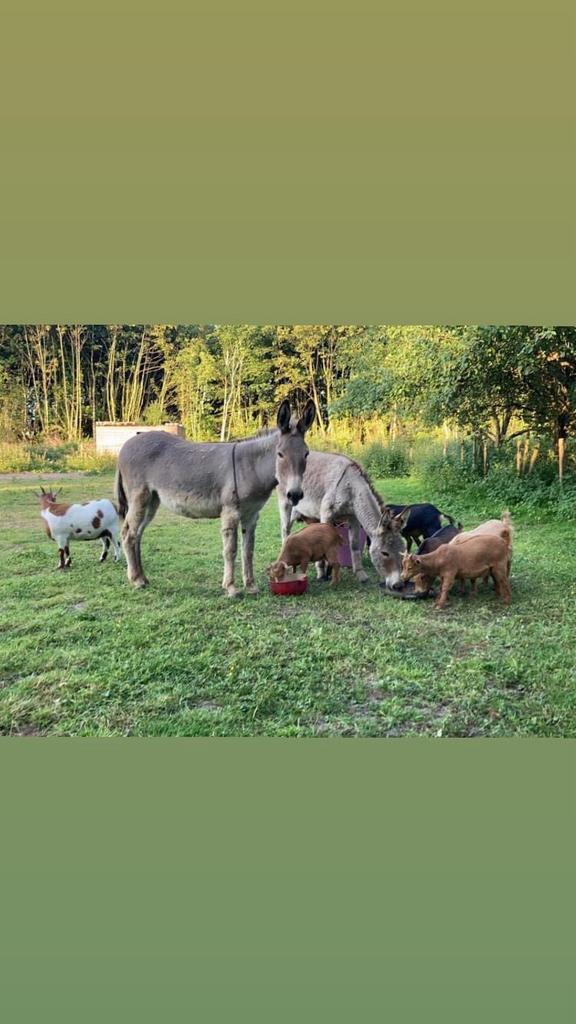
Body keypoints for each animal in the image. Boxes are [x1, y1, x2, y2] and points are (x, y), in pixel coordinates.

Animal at [115, 400, 315, 594]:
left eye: (306, 454)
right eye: (280, 454)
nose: (295, 494)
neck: (251, 466)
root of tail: (126, 444)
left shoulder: (251, 514)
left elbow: (248, 550)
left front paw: (251, 586)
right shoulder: (231, 512)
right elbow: (230, 550)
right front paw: (231, 588)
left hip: (152, 500)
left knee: (138, 534)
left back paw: (143, 577)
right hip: (139, 497)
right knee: (128, 534)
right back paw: (136, 580)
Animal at [277, 451, 410, 589]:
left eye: (403, 550)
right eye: (385, 553)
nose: (398, 585)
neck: (350, 487)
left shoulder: (354, 518)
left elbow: (355, 545)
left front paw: (360, 575)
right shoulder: (326, 515)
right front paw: (324, 575)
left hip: (312, 517)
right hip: (286, 505)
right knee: (285, 532)